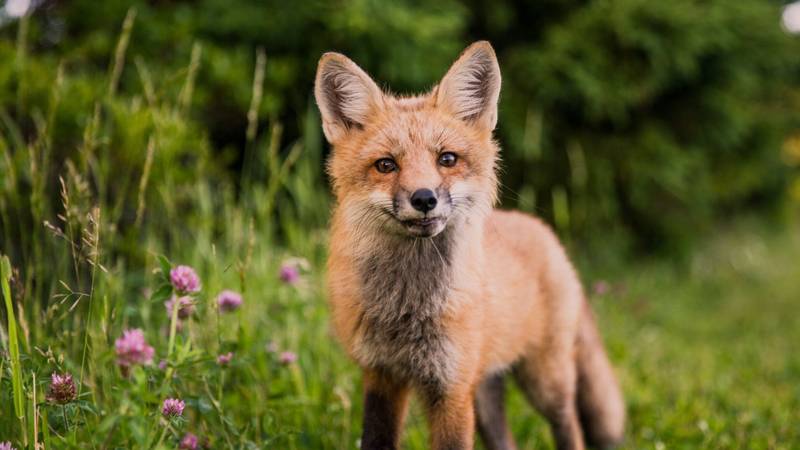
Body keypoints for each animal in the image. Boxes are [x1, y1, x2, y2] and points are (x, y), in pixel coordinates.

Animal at [314, 41, 624, 450]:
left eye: (447, 159)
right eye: (385, 165)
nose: (424, 198)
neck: (409, 308)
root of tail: (542, 229)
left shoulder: (452, 388)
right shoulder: (382, 376)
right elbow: (376, 440)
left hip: (545, 381)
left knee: (570, 426)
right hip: (486, 393)